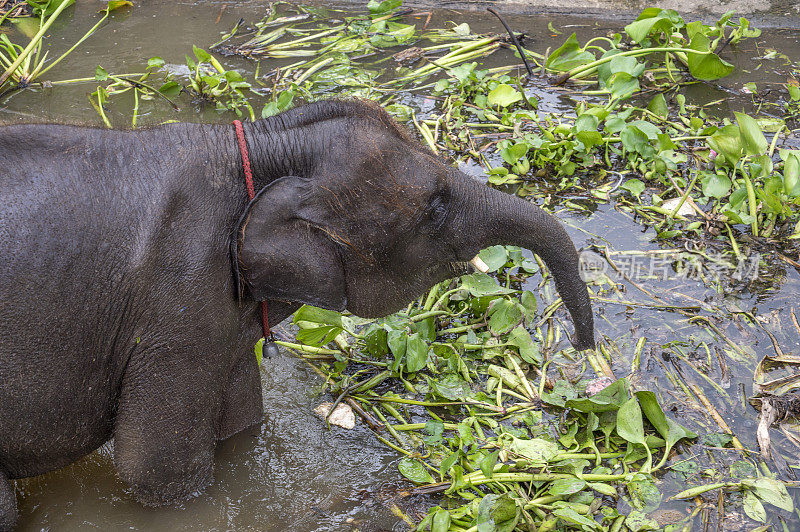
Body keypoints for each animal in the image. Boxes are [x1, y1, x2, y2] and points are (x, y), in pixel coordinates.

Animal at [0, 98, 592, 528]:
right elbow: (155, 467)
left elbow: (241, 422)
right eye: (434, 208)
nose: (585, 356)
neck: (262, 142)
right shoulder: (176, 306)